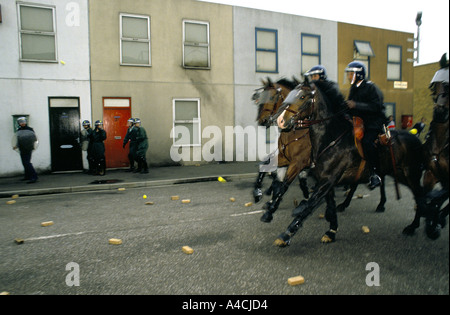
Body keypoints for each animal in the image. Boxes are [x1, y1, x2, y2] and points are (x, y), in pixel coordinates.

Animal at [270, 78, 432, 247]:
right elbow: (329, 205)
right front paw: (331, 231)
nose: (280, 120)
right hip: (399, 174)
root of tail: (416, 139)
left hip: (410, 174)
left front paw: (287, 233)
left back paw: (414, 225)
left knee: (420, 195)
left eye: (302, 97)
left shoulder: (326, 181)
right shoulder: (325, 180)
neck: (332, 139)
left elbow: (310, 205)